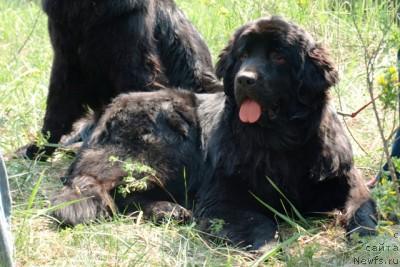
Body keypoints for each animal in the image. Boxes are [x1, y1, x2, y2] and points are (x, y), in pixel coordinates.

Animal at [51, 16, 376, 251]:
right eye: (243, 54)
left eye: (278, 57)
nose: (245, 79)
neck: (279, 142)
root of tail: (106, 112)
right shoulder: (224, 194)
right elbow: (259, 225)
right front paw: (264, 248)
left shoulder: (343, 174)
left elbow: (362, 202)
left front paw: (365, 233)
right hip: (166, 146)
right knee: (110, 189)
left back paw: (169, 210)